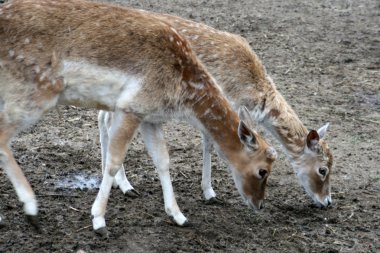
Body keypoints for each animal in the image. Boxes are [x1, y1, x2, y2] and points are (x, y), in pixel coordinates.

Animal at [0, 0, 278, 234]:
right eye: (263, 171)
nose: (260, 204)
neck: (181, 92)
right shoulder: (131, 107)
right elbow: (113, 162)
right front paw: (98, 220)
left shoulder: (150, 117)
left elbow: (163, 161)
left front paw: (178, 216)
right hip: (35, 90)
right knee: (3, 138)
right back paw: (32, 211)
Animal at [100, 8, 332, 209]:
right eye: (323, 169)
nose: (327, 202)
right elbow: (210, 144)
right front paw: (209, 192)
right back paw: (126, 185)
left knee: (103, 118)